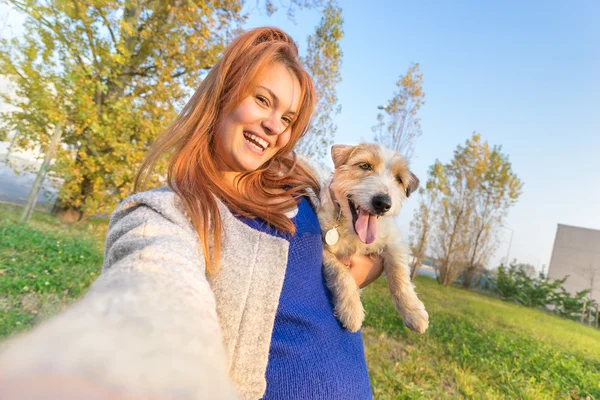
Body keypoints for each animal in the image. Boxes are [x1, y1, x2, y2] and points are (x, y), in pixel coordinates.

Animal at [316, 144, 428, 334]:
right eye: (365, 166)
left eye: (399, 179)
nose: (383, 203)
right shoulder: (324, 248)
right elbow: (341, 272)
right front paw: (351, 310)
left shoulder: (393, 241)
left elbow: (399, 274)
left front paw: (413, 312)